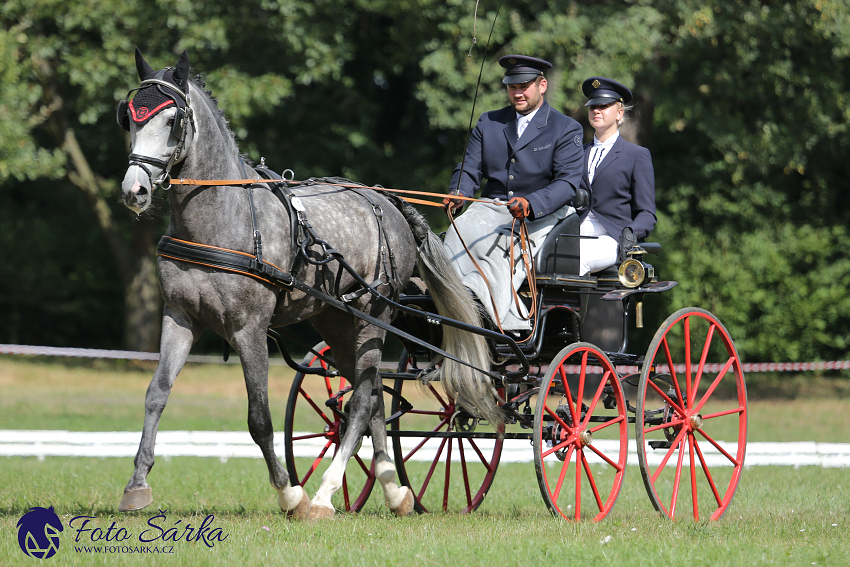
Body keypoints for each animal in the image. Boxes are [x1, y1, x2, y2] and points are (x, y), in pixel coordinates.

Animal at [116, 48, 494, 520]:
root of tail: (389, 203)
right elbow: (157, 394)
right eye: (129, 117)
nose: (135, 190)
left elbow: (259, 418)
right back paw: (394, 490)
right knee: (371, 395)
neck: (221, 219)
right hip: (337, 322)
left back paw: (324, 494)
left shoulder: (249, 328)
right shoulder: (180, 317)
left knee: (362, 400)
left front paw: (289, 493)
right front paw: (137, 485)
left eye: (172, 121)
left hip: (374, 317)